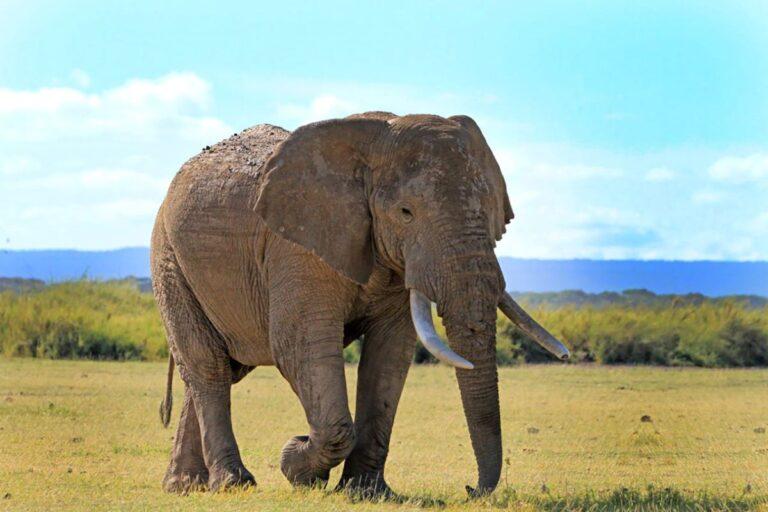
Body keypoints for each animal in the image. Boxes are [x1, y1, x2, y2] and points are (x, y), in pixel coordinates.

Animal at [151, 111, 569, 497]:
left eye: (490, 212)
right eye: (405, 213)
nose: (471, 489)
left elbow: (390, 353)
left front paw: (366, 491)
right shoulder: (297, 246)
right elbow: (297, 345)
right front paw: (296, 464)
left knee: (225, 367)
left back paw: (184, 486)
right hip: (168, 257)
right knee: (208, 366)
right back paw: (232, 484)